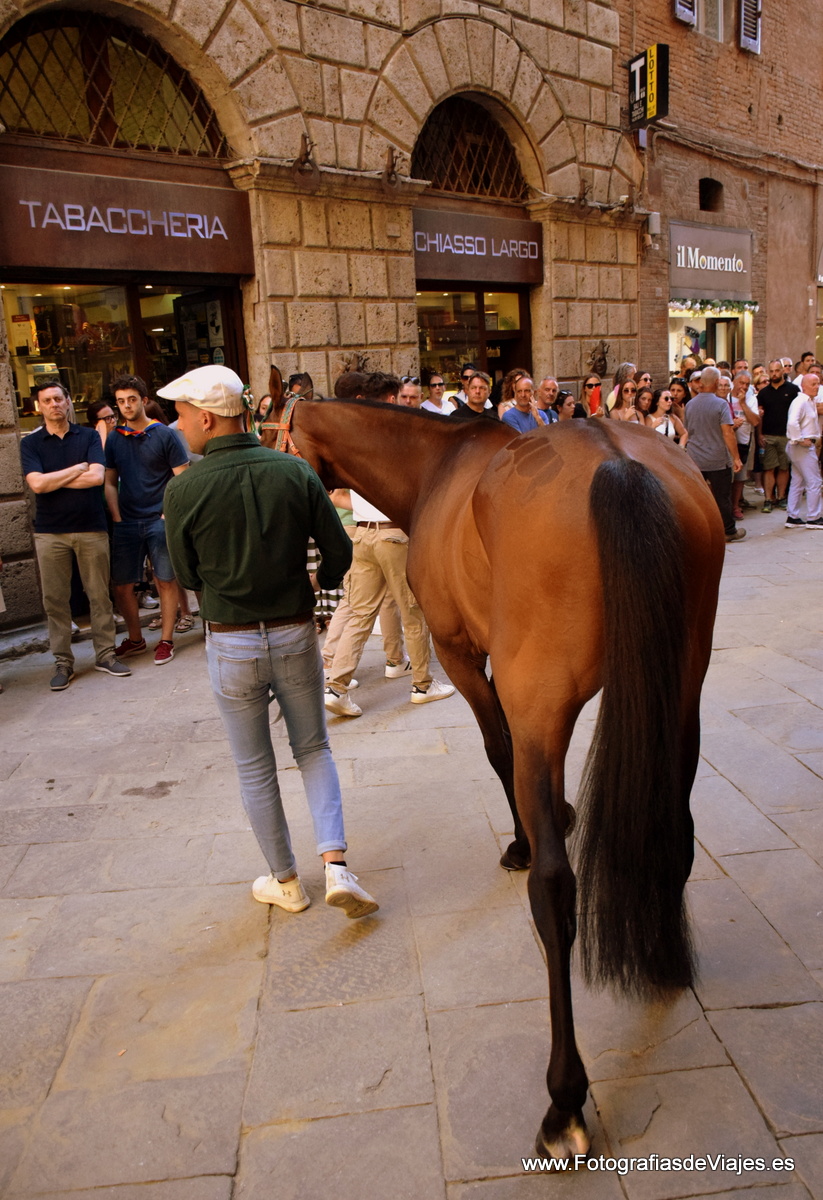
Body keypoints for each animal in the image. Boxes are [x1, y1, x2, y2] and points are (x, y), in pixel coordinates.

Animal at [260, 397, 726, 1159]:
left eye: (274, 436)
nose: (313, 566)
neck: (435, 467)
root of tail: (618, 462)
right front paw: (554, 815)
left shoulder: (463, 655)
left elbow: (496, 750)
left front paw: (524, 839)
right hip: (678, 691)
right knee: (674, 829)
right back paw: (662, 958)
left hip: (541, 694)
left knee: (556, 891)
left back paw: (563, 1102)